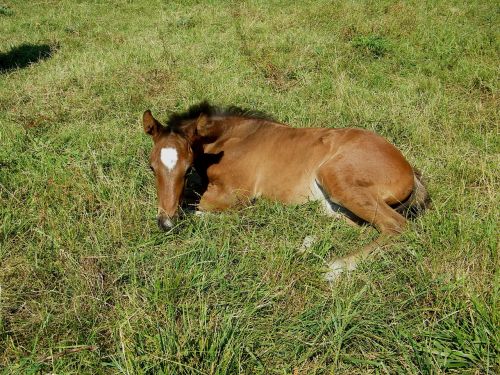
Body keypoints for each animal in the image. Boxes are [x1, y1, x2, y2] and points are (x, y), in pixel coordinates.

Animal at [142, 101, 430, 280]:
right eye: (152, 167)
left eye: (187, 168)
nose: (166, 224)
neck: (231, 139)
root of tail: (410, 170)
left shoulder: (237, 194)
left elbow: (194, 207)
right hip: (332, 203)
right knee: (362, 227)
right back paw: (306, 245)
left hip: (336, 179)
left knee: (396, 226)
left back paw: (335, 268)